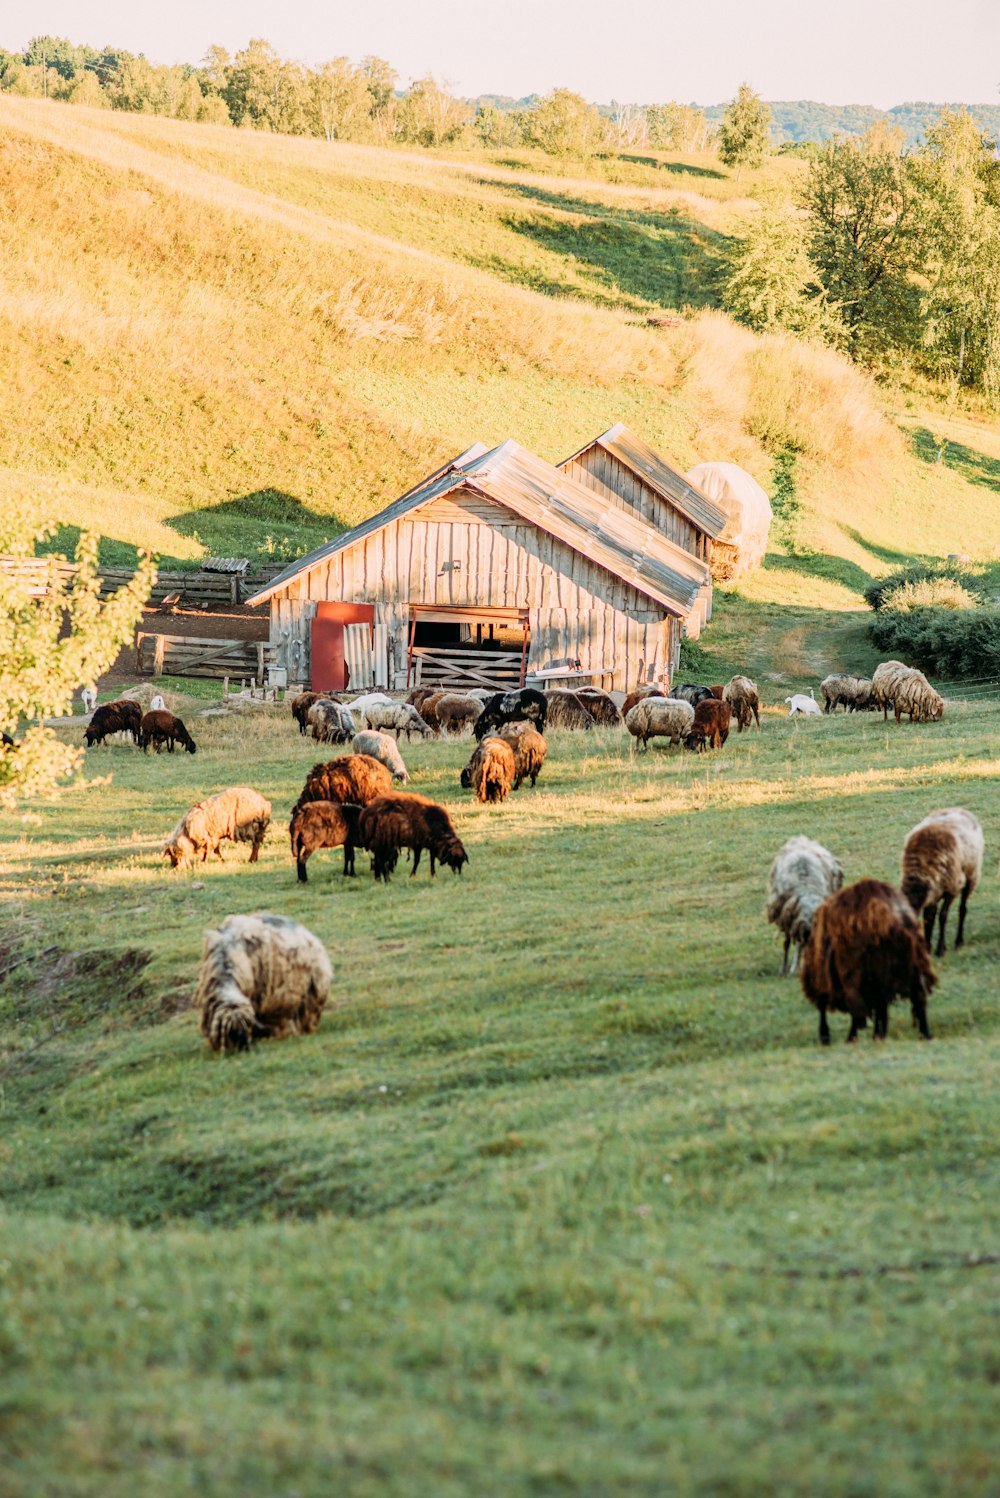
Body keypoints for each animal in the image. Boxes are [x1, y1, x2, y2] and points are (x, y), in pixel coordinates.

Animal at [796, 874, 940, 1042]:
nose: (824, 1038)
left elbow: (859, 1008)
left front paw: (855, 1036)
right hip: (913, 965)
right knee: (918, 997)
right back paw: (924, 1034)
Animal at [898, 814, 982, 952]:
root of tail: (963, 811)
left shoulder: (952, 887)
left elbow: (942, 916)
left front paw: (940, 949)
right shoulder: (932, 892)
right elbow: (928, 919)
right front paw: (928, 947)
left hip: (971, 875)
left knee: (962, 908)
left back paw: (959, 941)